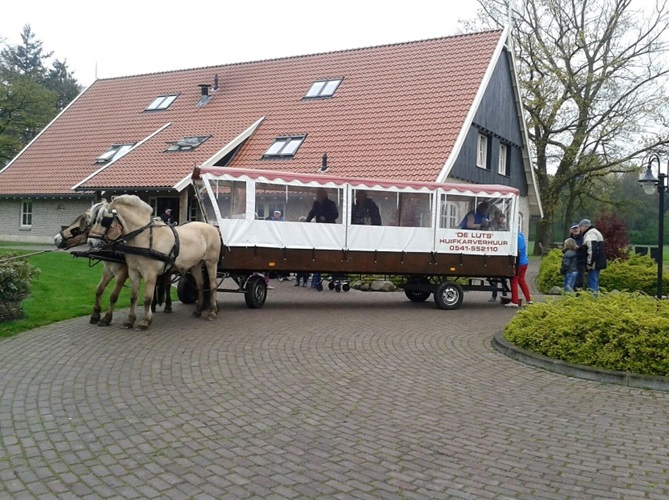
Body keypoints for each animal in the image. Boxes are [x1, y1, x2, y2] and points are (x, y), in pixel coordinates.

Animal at [85, 193, 222, 330]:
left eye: (104, 220)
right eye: (92, 221)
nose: (91, 242)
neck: (145, 237)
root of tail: (212, 227)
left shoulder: (149, 274)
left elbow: (146, 298)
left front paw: (145, 321)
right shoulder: (133, 271)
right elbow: (133, 296)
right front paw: (129, 320)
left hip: (211, 262)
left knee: (212, 285)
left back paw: (212, 311)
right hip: (196, 265)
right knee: (200, 285)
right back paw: (198, 311)